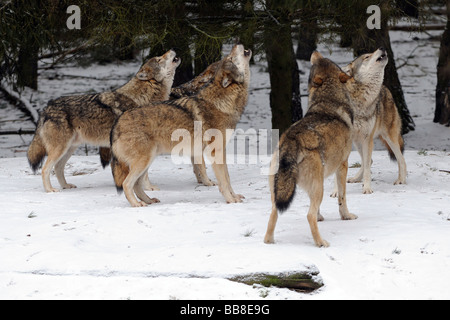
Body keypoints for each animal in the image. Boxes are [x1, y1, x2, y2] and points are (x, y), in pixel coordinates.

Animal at [27, 48, 179, 191]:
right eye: (159, 59)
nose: (172, 49)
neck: (143, 98)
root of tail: (46, 107)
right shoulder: (142, 146)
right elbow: (144, 173)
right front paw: (149, 188)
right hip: (60, 149)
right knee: (45, 169)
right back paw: (50, 190)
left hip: (69, 148)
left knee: (58, 167)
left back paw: (65, 186)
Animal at [107, 43, 251, 208]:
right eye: (231, 57)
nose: (236, 44)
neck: (223, 101)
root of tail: (118, 121)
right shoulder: (215, 152)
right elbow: (224, 181)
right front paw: (231, 200)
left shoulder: (221, 152)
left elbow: (227, 178)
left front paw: (235, 196)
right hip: (143, 161)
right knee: (126, 183)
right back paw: (137, 204)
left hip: (148, 160)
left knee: (137, 184)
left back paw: (149, 200)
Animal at [262, 52, 356, 248]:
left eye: (323, 60)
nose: (315, 52)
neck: (327, 100)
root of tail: (291, 139)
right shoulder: (342, 166)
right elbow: (342, 197)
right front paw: (346, 216)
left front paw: (322, 217)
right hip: (318, 187)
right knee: (309, 215)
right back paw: (321, 243)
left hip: (280, 193)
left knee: (273, 214)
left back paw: (270, 241)